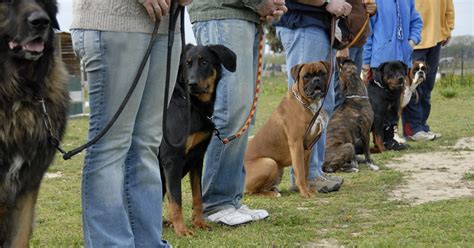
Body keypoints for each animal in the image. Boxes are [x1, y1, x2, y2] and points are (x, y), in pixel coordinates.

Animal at [159, 43, 237, 235]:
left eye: (204, 62)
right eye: (187, 64)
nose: (192, 83)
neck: (193, 105)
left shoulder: (197, 157)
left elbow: (197, 196)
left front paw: (199, 223)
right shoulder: (172, 159)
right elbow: (176, 199)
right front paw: (181, 229)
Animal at [244, 61, 330, 199]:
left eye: (322, 73)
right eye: (306, 76)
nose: (316, 79)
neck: (307, 104)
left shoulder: (308, 148)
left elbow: (305, 171)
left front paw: (309, 189)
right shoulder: (296, 145)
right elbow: (300, 171)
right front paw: (305, 192)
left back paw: (274, 189)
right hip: (269, 163)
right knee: (251, 192)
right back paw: (272, 193)